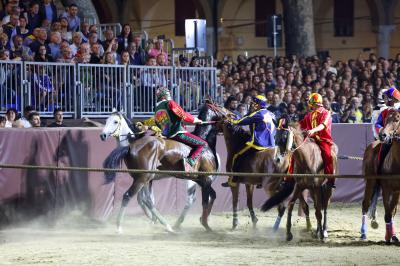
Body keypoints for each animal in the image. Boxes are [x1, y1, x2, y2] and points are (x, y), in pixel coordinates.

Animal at [100, 104, 219, 233]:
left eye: (115, 121)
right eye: (107, 120)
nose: (103, 135)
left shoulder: (147, 180)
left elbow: (146, 199)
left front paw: (153, 219)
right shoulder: (146, 180)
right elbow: (146, 199)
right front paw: (153, 219)